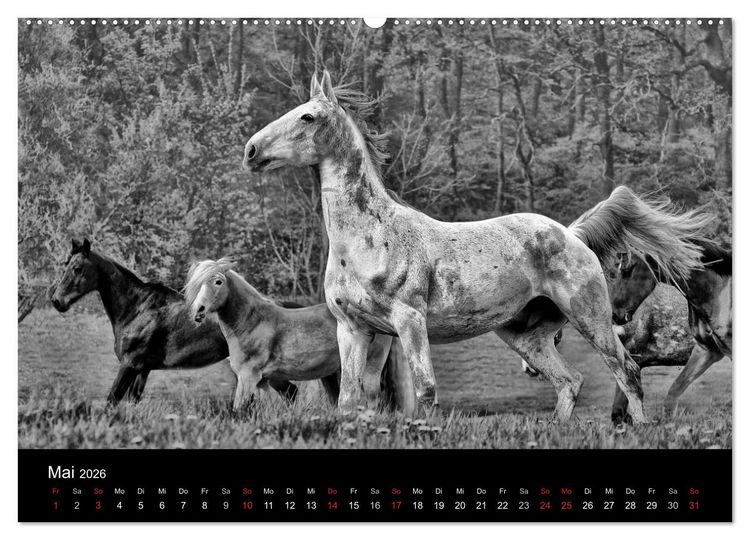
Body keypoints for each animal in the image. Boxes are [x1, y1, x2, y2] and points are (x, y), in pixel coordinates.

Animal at [48, 239, 300, 404]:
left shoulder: (130, 364)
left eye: (77, 268)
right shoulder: (142, 370)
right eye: (66, 265)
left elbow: (112, 400)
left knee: (291, 393)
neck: (138, 308)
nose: (57, 301)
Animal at [183, 257, 415, 412]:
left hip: (370, 368)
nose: (199, 311)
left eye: (218, 281)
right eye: (197, 284)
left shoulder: (248, 377)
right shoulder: (264, 381)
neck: (253, 323)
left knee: (373, 398)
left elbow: (239, 409)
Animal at [243, 70, 713, 423]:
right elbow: (349, 399)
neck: (367, 240)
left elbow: (426, 390)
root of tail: (572, 234)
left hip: (591, 317)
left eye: (307, 117)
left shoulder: (410, 321)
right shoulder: (353, 329)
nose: (250, 151)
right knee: (570, 381)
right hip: (526, 336)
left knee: (626, 371)